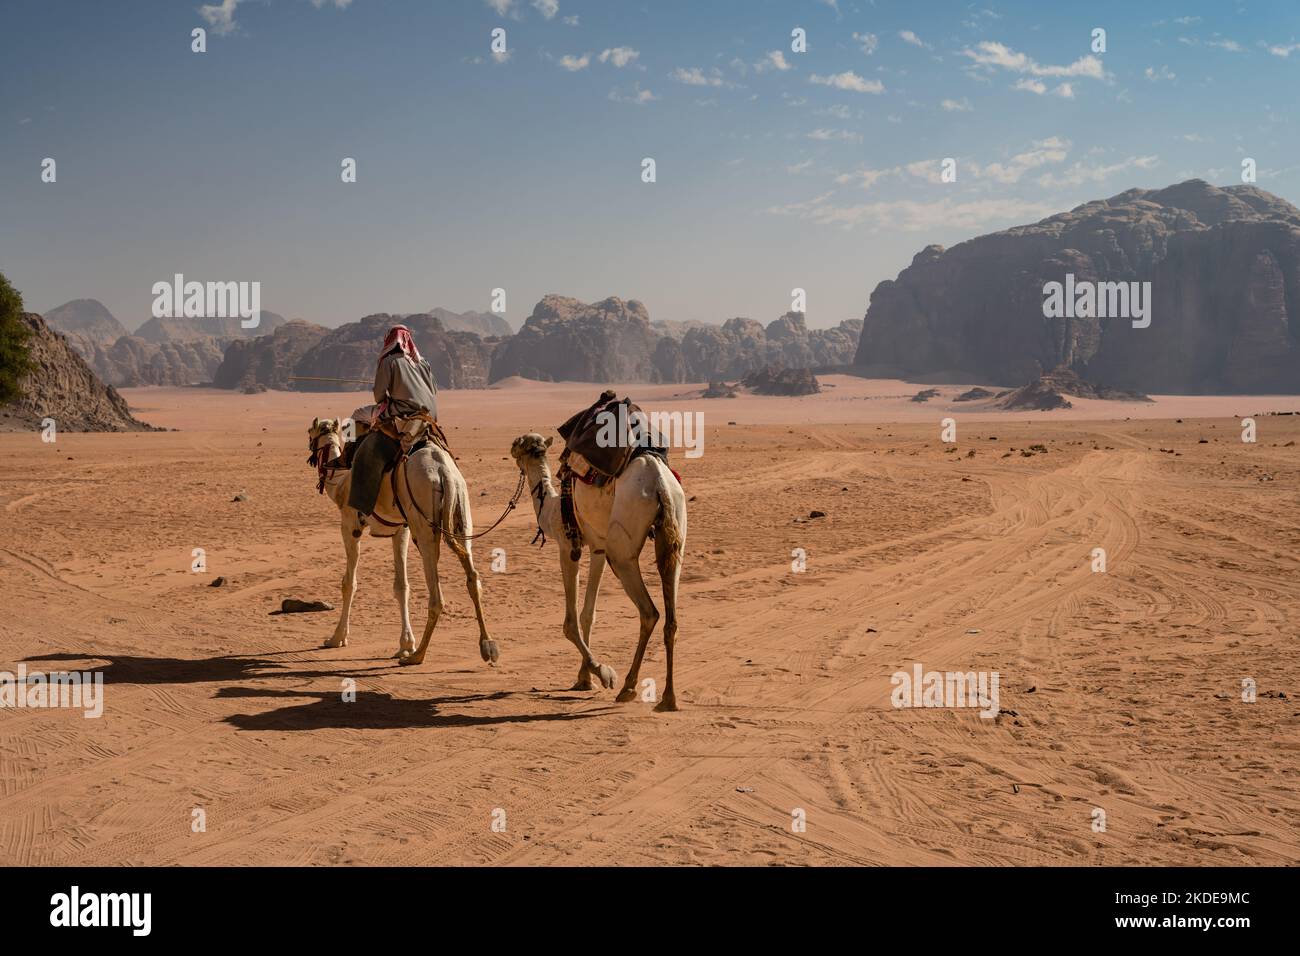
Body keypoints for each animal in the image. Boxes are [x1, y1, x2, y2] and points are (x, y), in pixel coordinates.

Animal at [306, 418, 499, 665]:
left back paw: (418, 656)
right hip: (461, 512)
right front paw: (405, 644)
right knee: (473, 577)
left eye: (309, 433)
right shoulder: (401, 530)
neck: (339, 481)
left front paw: (336, 638)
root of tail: (443, 472)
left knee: (436, 595)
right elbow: (402, 585)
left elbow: (349, 583)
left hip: (423, 524)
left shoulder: (350, 524)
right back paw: (487, 646)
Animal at [509, 434, 691, 712]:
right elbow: (588, 614)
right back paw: (668, 698)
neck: (551, 508)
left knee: (649, 612)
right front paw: (584, 678)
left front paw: (602, 673)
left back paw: (627, 687)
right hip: (674, 533)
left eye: (519, 445)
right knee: (671, 618)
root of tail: (660, 483)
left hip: (622, 548)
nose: (510, 448)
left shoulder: (568, 546)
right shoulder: (598, 547)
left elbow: (570, 622)